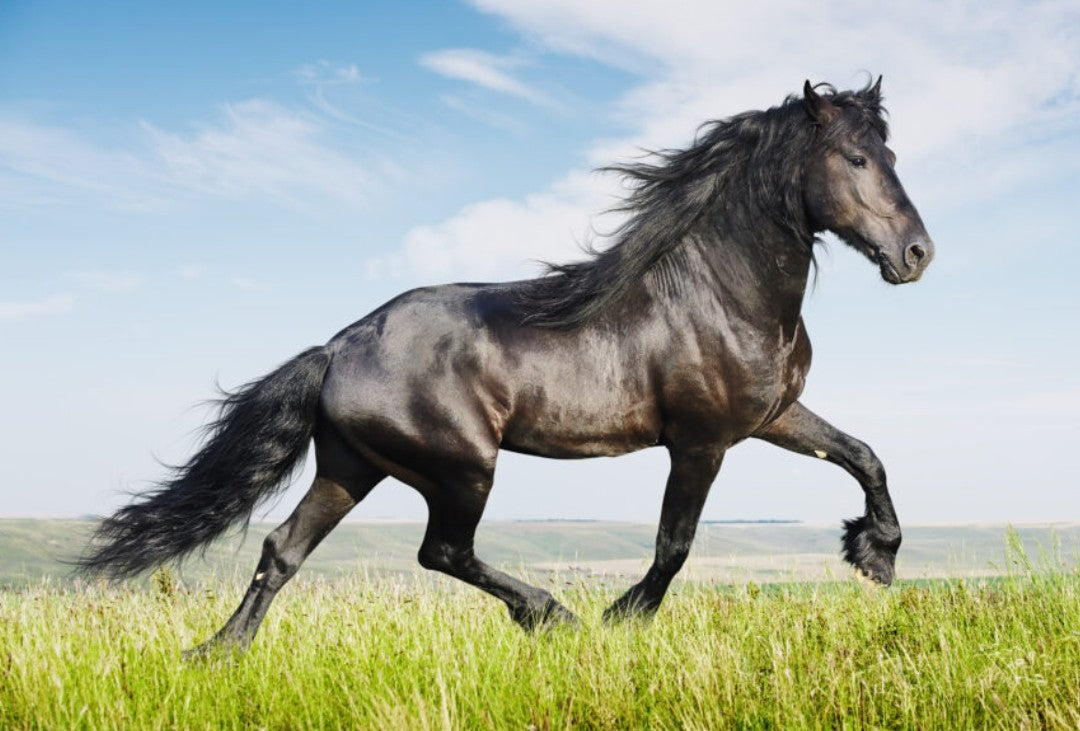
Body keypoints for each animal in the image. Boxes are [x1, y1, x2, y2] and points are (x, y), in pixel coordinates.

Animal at [78, 78, 934, 654]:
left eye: (891, 153)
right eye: (856, 157)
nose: (916, 254)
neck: (718, 292)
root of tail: (338, 347)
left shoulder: (772, 416)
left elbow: (865, 454)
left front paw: (875, 555)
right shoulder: (702, 440)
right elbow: (675, 544)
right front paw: (623, 617)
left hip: (352, 465)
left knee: (283, 549)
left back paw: (216, 653)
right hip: (461, 466)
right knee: (441, 551)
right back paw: (551, 614)